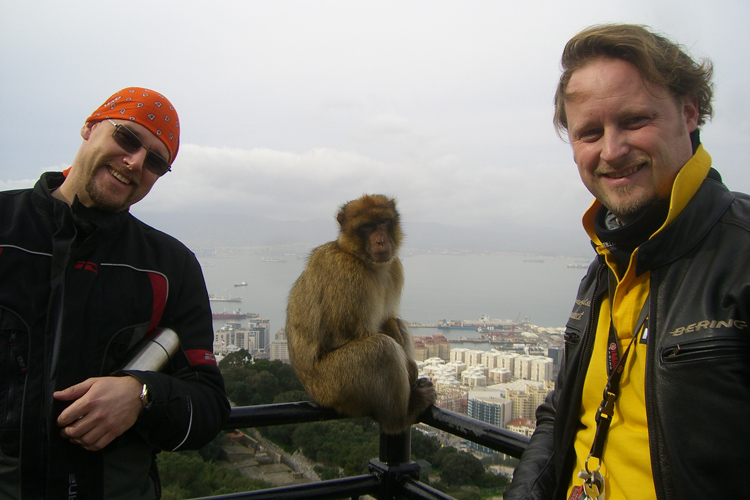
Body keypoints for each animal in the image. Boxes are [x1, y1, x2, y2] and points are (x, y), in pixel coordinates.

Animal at [288, 192, 440, 434]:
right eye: (367, 227)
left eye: (383, 222)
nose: (381, 240)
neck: (361, 259)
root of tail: (313, 393)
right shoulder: (347, 274)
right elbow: (349, 336)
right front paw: (410, 368)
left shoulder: (394, 267)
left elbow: (388, 319)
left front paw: (396, 335)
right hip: (336, 385)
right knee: (381, 349)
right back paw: (402, 416)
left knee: (398, 326)